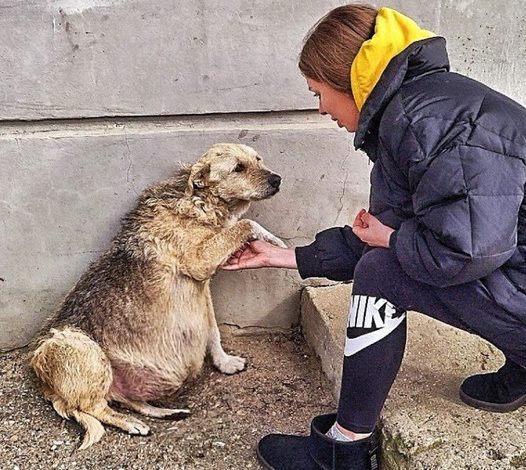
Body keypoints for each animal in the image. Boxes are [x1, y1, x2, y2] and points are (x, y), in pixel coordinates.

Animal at [28, 144, 284, 452]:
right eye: (238, 168)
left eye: (259, 160)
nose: (278, 180)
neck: (198, 201)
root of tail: (44, 383)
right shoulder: (200, 262)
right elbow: (246, 223)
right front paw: (274, 240)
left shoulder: (203, 287)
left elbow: (213, 331)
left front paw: (224, 362)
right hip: (79, 347)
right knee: (93, 408)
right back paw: (131, 424)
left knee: (126, 400)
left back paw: (165, 412)